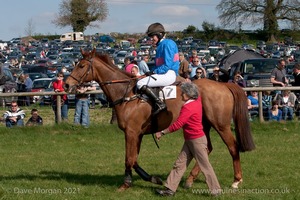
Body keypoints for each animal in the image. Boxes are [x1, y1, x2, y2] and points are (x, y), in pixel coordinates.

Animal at [64, 48, 254, 191]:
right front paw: (150, 179)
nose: (66, 84)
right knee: (206, 148)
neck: (127, 93)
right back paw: (190, 180)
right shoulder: (137, 134)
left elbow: (129, 159)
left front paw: (128, 183)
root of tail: (224, 85)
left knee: (232, 147)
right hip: (203, 125)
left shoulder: (131, 132)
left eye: (81, 66)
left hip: (220, 125)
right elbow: (133, 159)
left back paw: (236, 180)